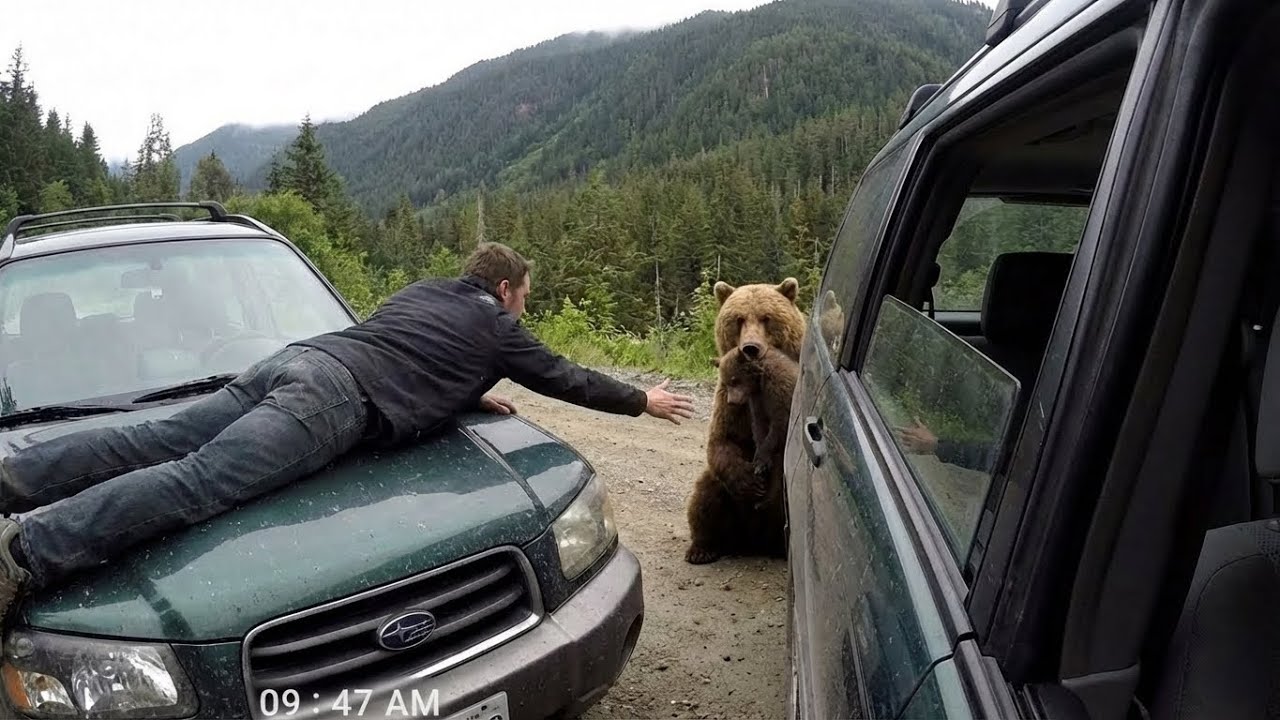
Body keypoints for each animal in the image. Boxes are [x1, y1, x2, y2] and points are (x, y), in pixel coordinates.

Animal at [685, 277, 805, 565]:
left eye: (766, 318)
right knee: (707, 494)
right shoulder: (730, 402)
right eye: (738, 319)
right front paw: (749, 481)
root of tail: (754, 542)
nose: (750, 347)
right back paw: (703, 548)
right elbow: (723, 439)